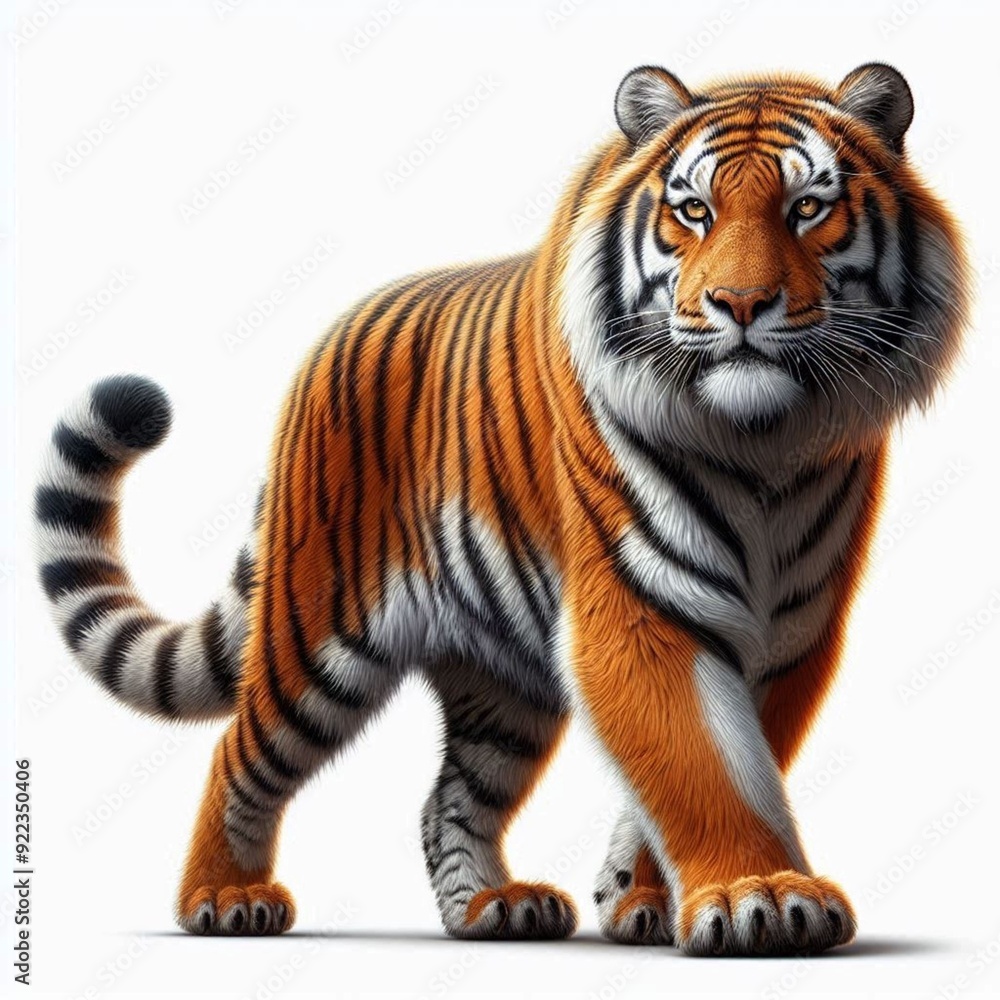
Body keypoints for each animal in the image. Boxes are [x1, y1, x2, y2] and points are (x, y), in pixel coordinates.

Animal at [34, 62, 969, 955]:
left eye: (808, 208)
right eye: (694, 211)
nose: (739, 306)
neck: (765, 442)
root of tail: (327, 339)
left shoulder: (793, 631)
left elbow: (728, 759)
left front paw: (645, 898)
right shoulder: (640, 605)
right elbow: (706, 764)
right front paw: (762, 898)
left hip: (504, 690)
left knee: (450, 798)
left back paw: (494, 905)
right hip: (317, 636)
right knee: (240, 749)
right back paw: (223, 899)